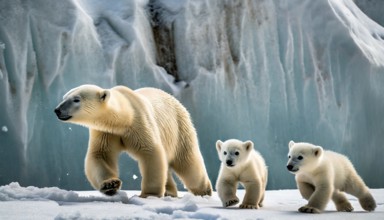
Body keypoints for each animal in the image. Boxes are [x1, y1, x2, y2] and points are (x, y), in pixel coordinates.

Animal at [53, 84, 213, 198]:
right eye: (64, 97)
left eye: (76, 99)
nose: (57, 110)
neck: (124, 118)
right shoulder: (106, 132)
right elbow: (100, 155)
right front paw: (110, 184)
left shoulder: (139, 124)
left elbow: (151, 152)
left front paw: (149, 195)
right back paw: (169, 191)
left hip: (180, 127)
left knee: (187, 161)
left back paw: (204, 191)